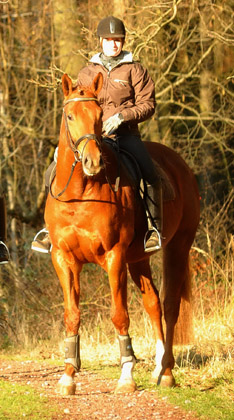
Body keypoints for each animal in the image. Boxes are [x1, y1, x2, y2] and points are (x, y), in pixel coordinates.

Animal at [45, 71, 199, 394]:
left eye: (99, 115)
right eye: (70, 115)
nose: (92, 162)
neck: (81, 193)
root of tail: (179, 163)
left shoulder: (114, 257)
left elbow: (119, 315)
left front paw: (126, 376)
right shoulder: (64, 260)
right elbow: (72, 316)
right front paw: (68, 376)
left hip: (178, 248)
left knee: (170, 306)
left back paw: (167, 371)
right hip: (138, 259)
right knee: (153, 302)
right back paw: (158, 367)